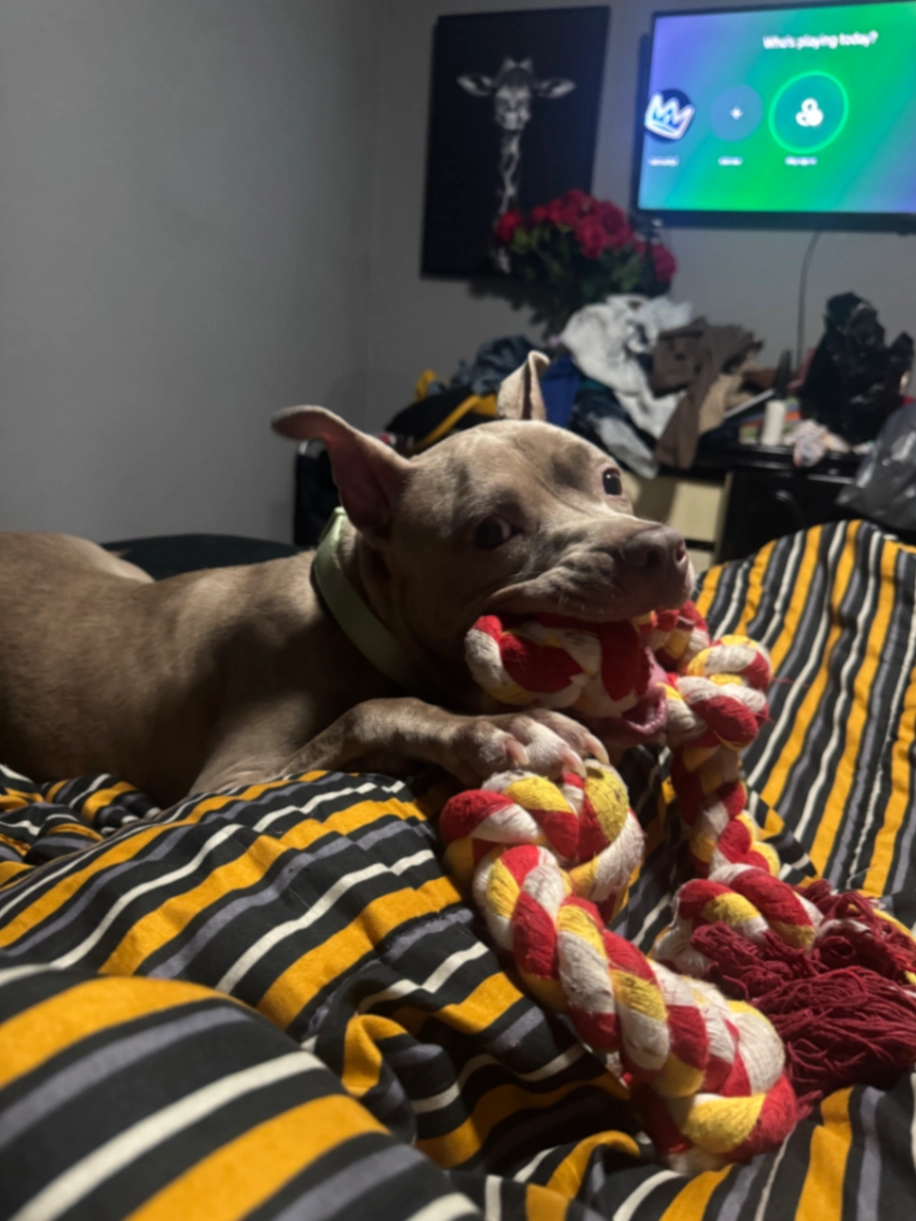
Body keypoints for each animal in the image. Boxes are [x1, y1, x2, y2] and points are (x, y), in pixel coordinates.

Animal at [0, 355, 692, 805]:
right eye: (492, 531)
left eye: (610, 478)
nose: (662, 549)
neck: (354, 618)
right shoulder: (228, 785)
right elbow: (369, 712)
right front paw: (501, 730)